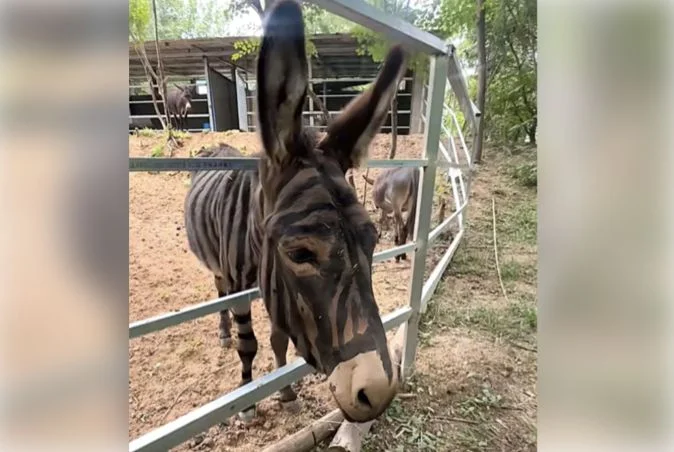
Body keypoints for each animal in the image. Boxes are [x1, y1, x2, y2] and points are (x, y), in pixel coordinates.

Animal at [184, 0, 407, 423]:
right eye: (300, 254)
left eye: (373, 240)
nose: (380, 393)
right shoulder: (244, 283)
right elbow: (250, 343)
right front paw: (247, 402)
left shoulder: (276, 288)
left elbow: (278, 338)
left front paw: (286, 392)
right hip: (219, 270)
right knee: (219, 292)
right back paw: (223, 332)